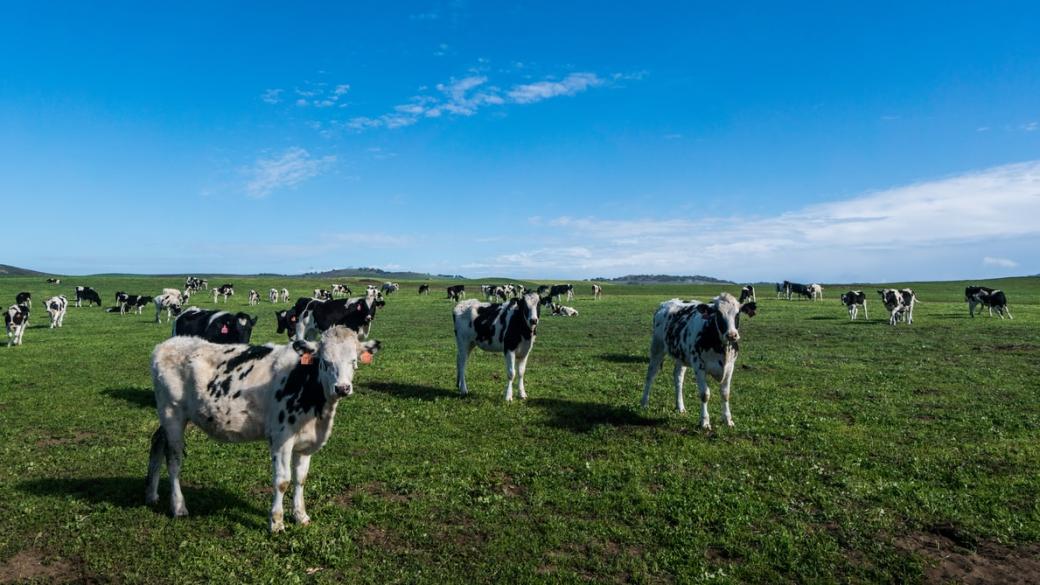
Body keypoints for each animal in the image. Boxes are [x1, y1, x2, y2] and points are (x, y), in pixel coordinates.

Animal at [148, 324, 384, 530]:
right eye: (325, 362)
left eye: (354, 361)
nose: (342, 388)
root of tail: (167, 344)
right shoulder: (281, 437)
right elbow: (282, 481)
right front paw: (276, 522)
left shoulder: (307, 442)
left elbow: (301, 478)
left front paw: (301, 516)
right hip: (172, 414)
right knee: (174, 460)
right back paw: (178, 507)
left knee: (157, 442)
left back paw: (152, 494)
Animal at [636, 293, 761, 426]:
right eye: (718, 314)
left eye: (738, 313)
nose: (731, 335)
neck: (722, 348)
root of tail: (665, 303)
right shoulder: (698, 366)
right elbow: (704, 394)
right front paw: (704, 421)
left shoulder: (730, 367)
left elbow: (725, 394)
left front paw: (728, 420)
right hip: (657, 347)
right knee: (651, 374)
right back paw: (644, 402)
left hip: (681, 355)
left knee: (678, 377)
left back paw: (680, 407)